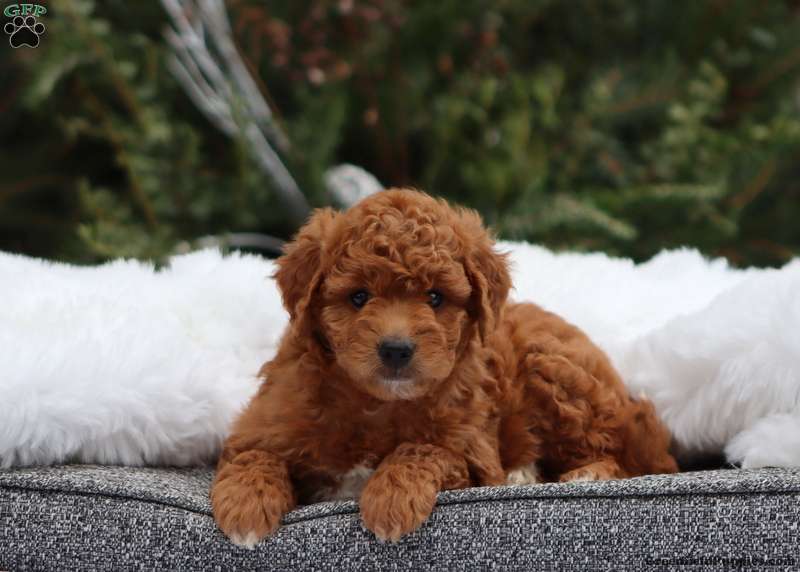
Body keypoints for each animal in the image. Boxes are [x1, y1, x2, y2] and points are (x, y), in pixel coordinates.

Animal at [211, 189, 677, 546]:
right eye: (358, 297)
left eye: (435, 298)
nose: (396, 349)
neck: (378, 405)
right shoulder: (264, 424)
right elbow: (253, 456)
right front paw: (245, 508)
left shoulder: (473, 457)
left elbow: (423, 449)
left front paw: (391, 500)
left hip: (554, 372)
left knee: (631, 457)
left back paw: (577, 474)